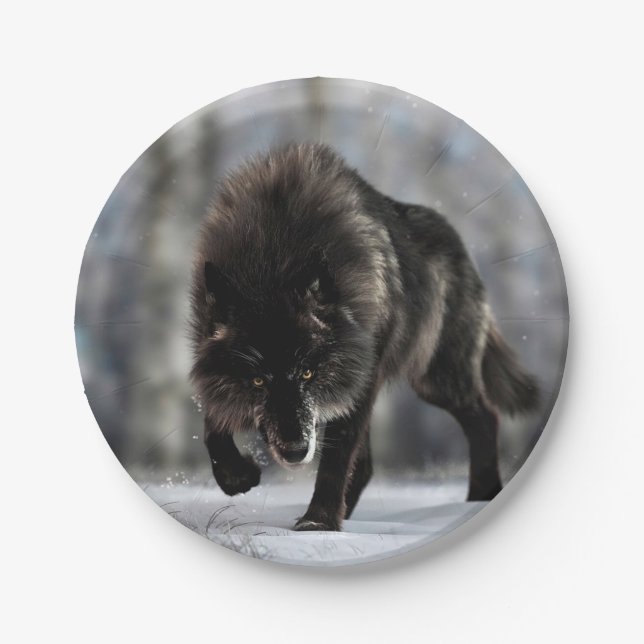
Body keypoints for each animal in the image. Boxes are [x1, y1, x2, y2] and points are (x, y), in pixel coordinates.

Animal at [189, 142, 538, 531]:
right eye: (258, 381)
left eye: (308, 372)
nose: (296, 452)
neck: (274, 255)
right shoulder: (212, 365)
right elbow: (212, 422)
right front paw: (238, 476)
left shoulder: (360, 378)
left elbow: (337, 457)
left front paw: (318, 524)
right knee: (370, 464)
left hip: (436, 379)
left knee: (485, 417)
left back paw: (478, 499)